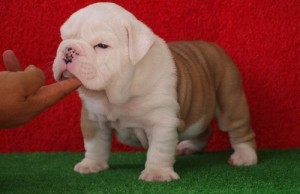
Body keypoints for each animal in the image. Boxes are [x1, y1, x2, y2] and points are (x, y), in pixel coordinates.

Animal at [52, 2, 258, 182]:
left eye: (102, 46)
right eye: (65, 38)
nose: (69, 49)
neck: (117, 92)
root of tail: (214, 47)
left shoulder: (161, 123)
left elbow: (158, 150)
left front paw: (157, 173)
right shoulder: (94, 120)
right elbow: (95, 144)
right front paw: (91, 164)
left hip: (230, 98)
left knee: (239, 129)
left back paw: (244, 156)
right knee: (203, 128)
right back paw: (189, 146)